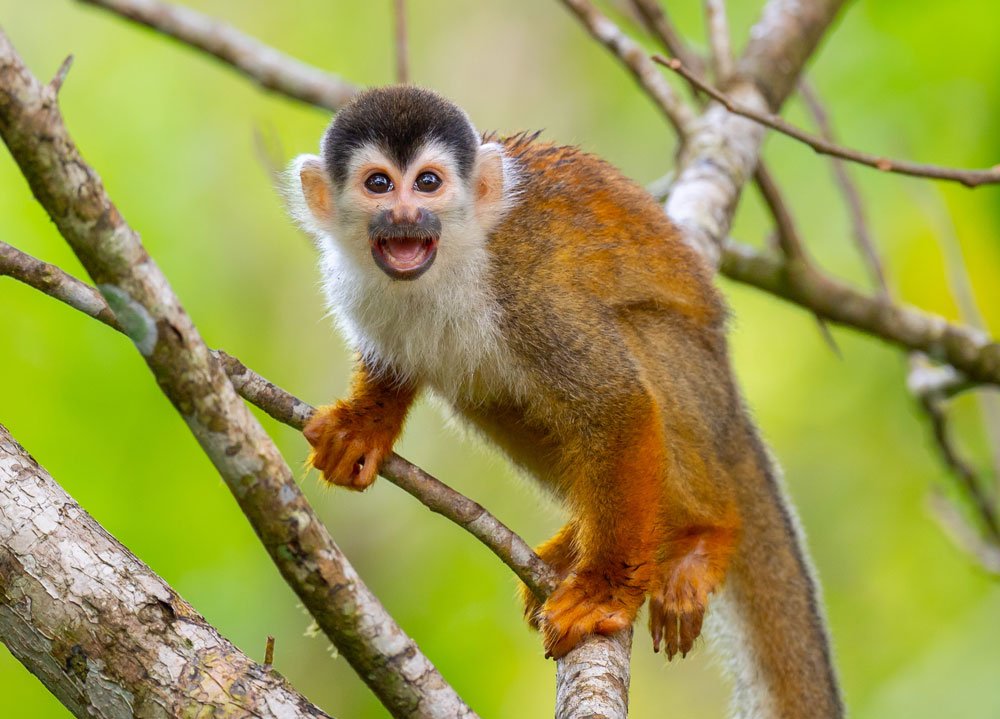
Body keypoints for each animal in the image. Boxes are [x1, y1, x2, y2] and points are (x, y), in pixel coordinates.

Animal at [286, 85, 843, 718]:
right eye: (378, 184)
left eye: (427, 183)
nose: (405, 216)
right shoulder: (356, 285)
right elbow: (395, 363)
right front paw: (364, 427)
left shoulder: (527, 293)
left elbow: (618, 406)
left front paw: (604, 593)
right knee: (482, 391)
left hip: (699, 382)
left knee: (638, 344)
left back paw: (698, 535)